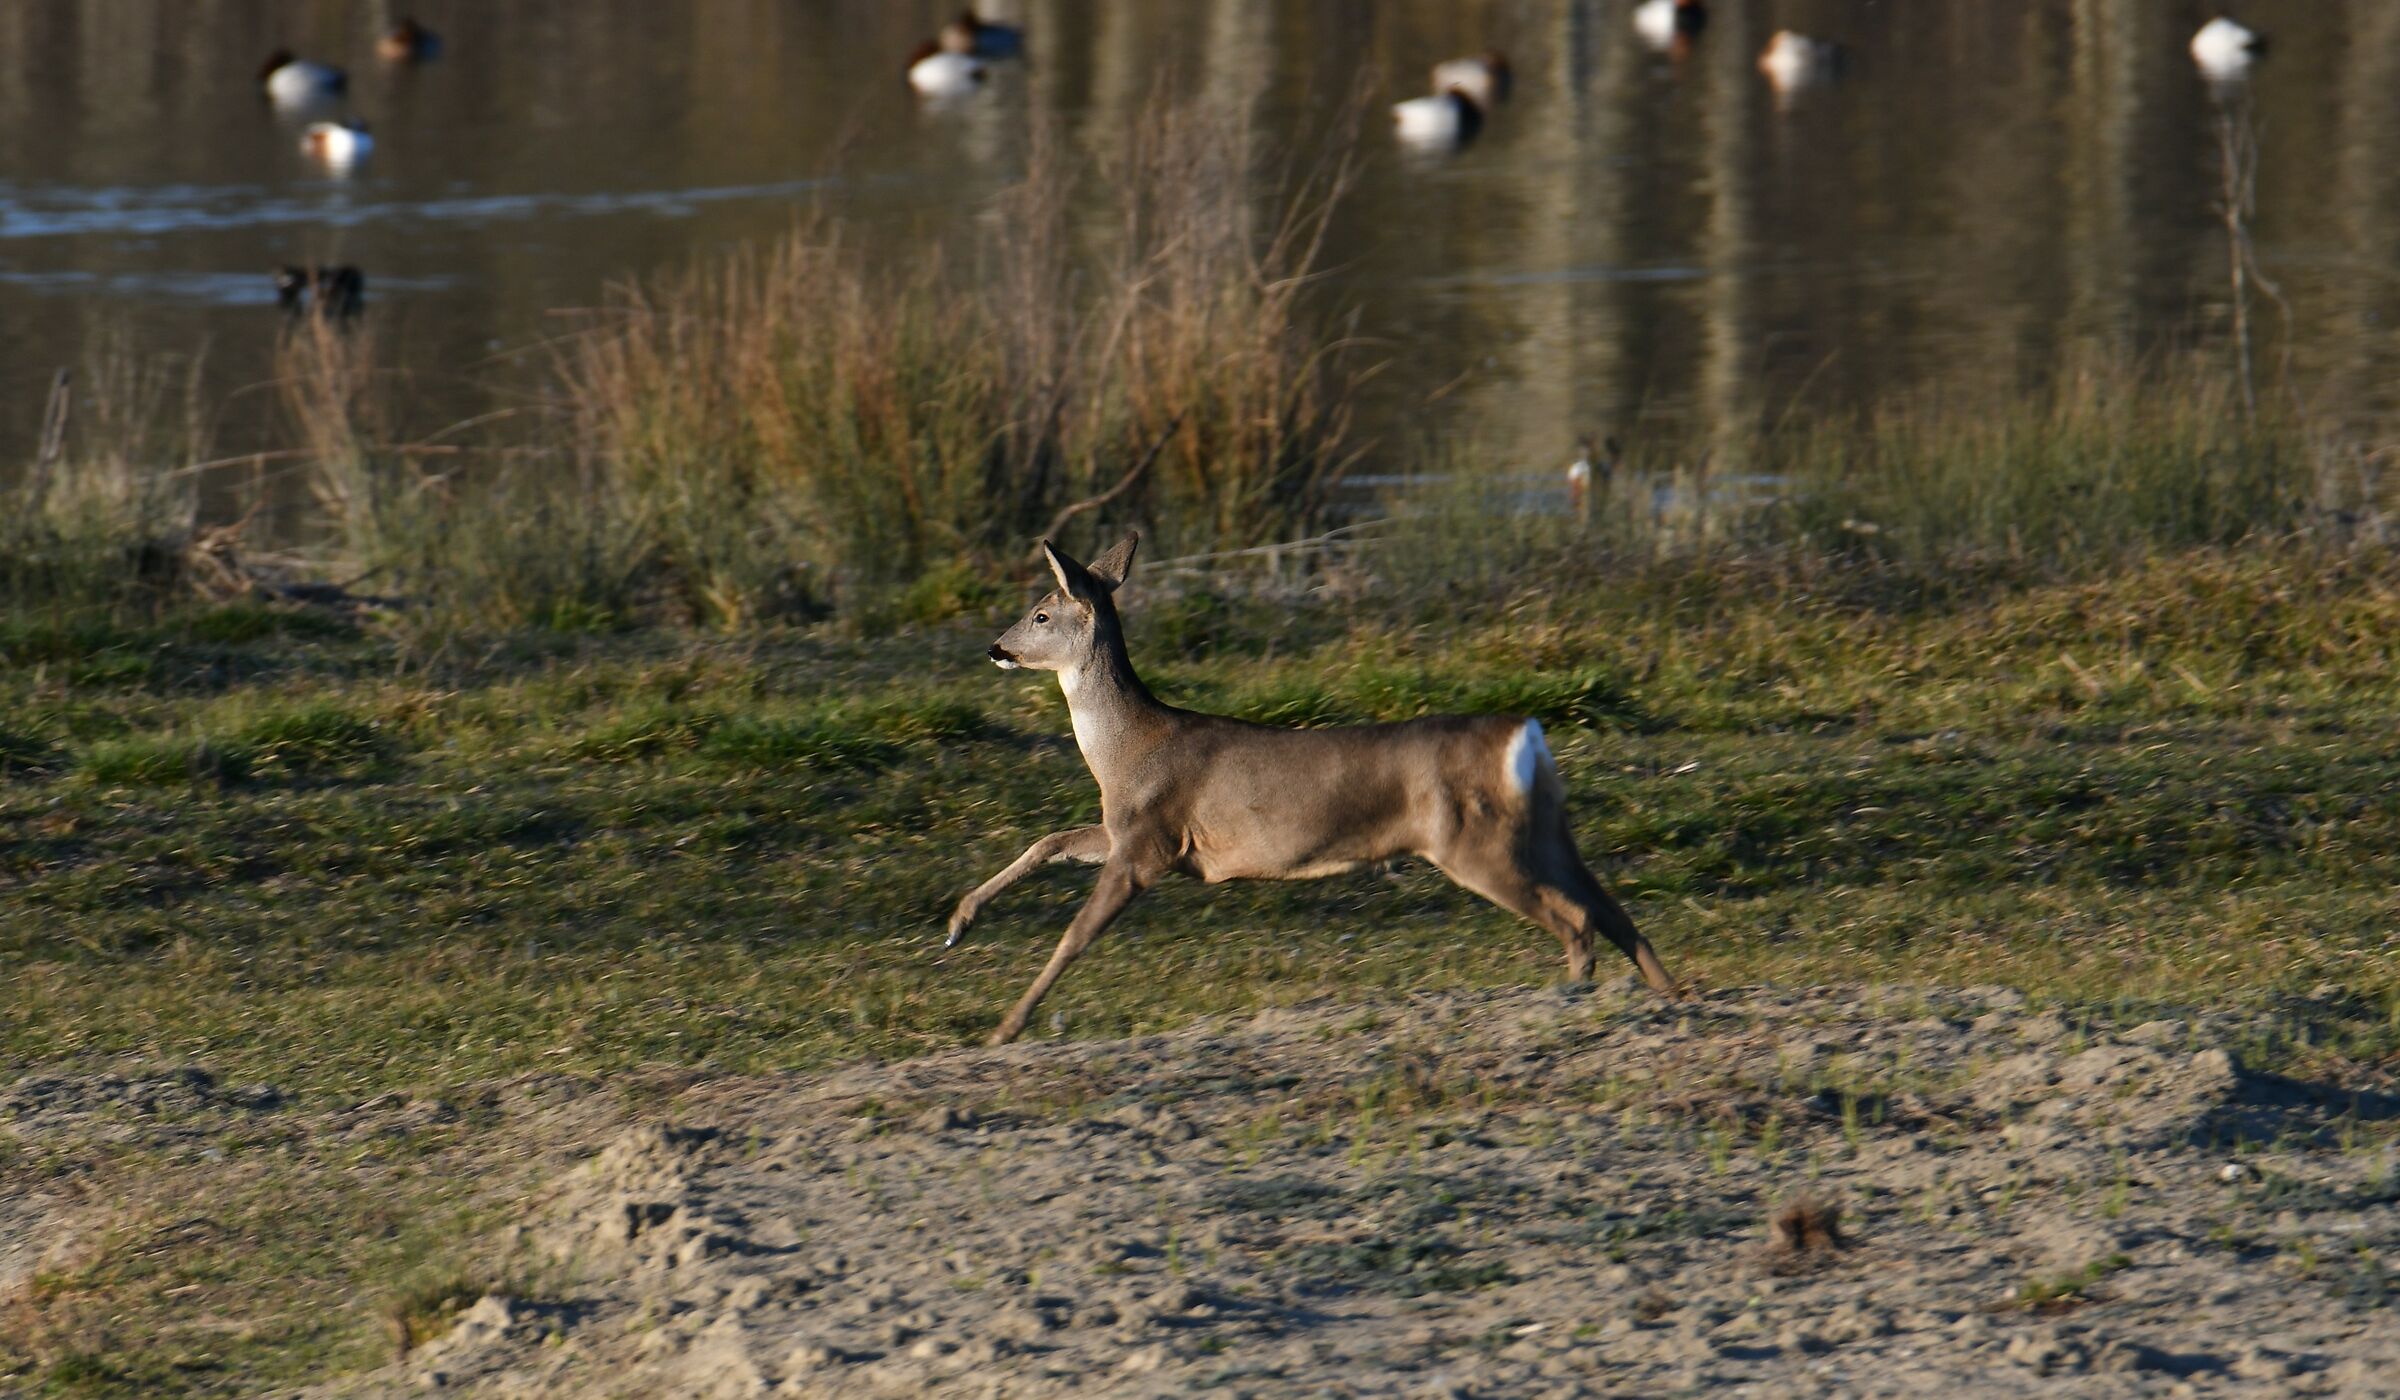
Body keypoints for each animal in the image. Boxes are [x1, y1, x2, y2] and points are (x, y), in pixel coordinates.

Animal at [945, 532, 1680, 1046]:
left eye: (1042, 613)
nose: (995, 648)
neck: (1128, 750)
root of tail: (1524, 734)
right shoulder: (1131, 832)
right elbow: (1049, 840)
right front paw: (959, 922)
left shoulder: (1148, 842)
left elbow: (1073, 936)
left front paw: (1005, 1029)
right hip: (1545, 827)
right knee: (1612, 910)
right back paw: (1672, 1001)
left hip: (1474, 841)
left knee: (1578, 920)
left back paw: (1568, 1008)